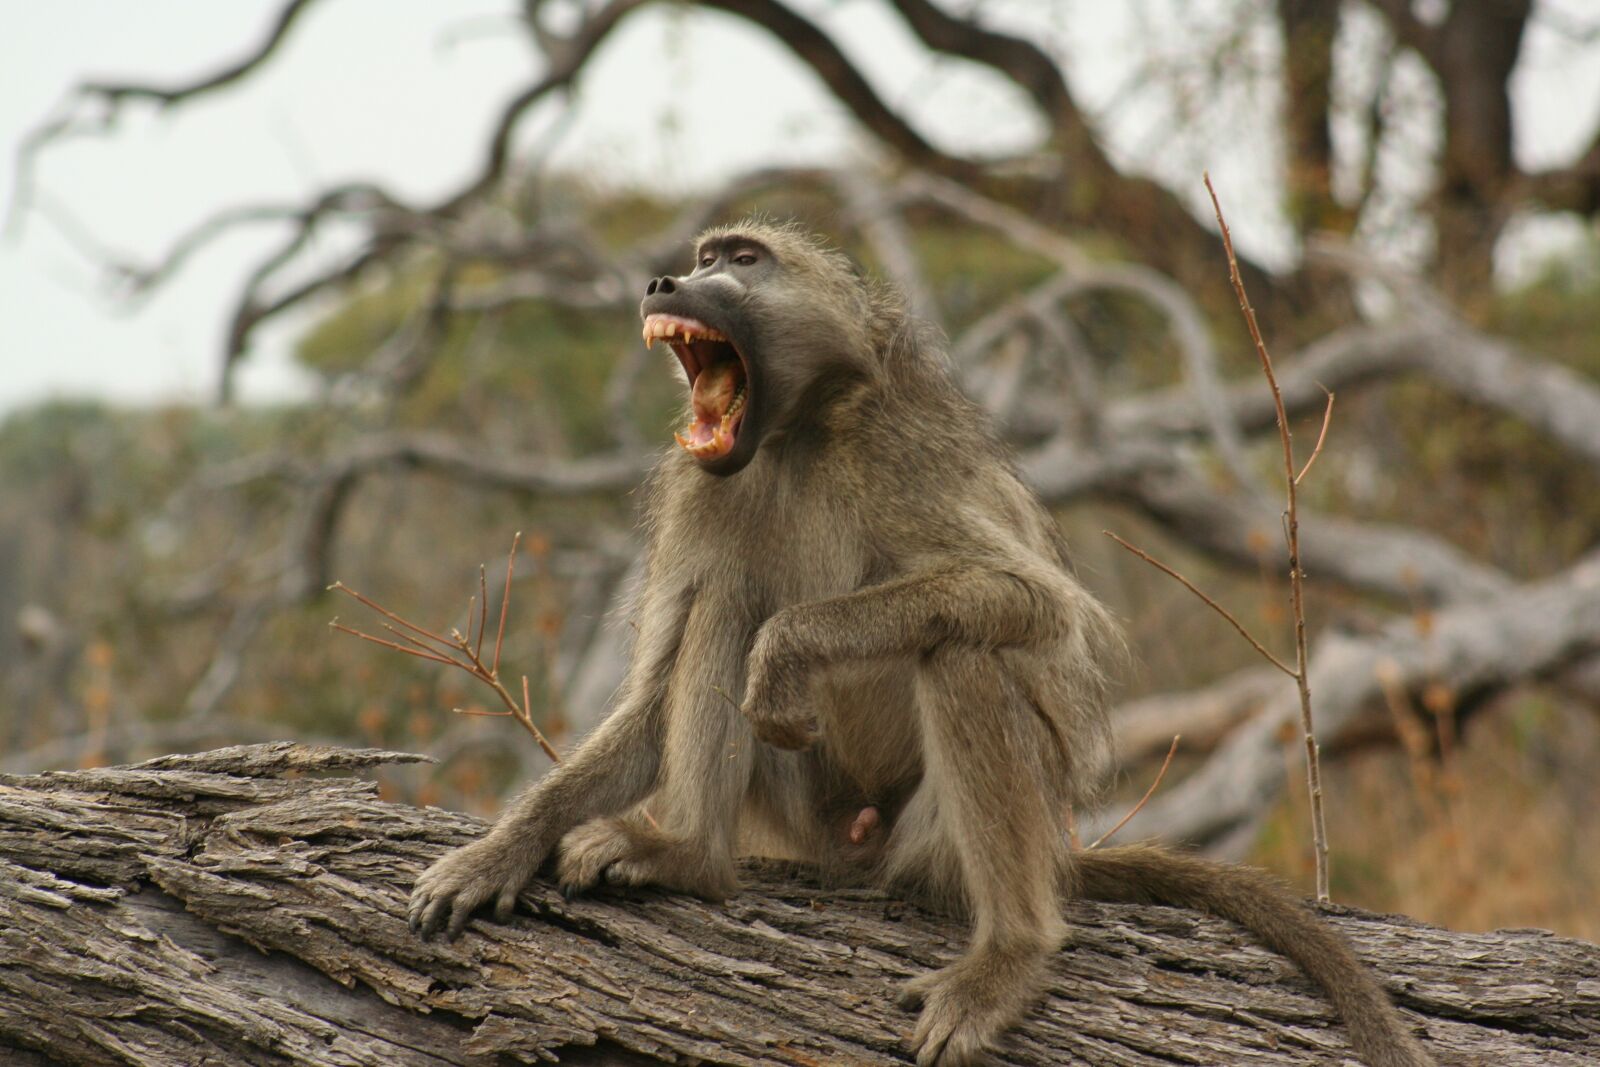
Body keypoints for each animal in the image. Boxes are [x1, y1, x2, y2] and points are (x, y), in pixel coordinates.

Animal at [410, 220, 1434, 1067]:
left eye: (741, 259)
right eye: (702, 258)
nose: (667, 280)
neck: (794, 433)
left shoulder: (900, 454)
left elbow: (1030, 602)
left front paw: (790, 648)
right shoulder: (699, 495)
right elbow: (657, 693)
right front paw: (500, 849)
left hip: (935, 833)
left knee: (962, 650)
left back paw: (1009, 955)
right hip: (808, 809)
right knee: (728, 606)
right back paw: (688, 854)